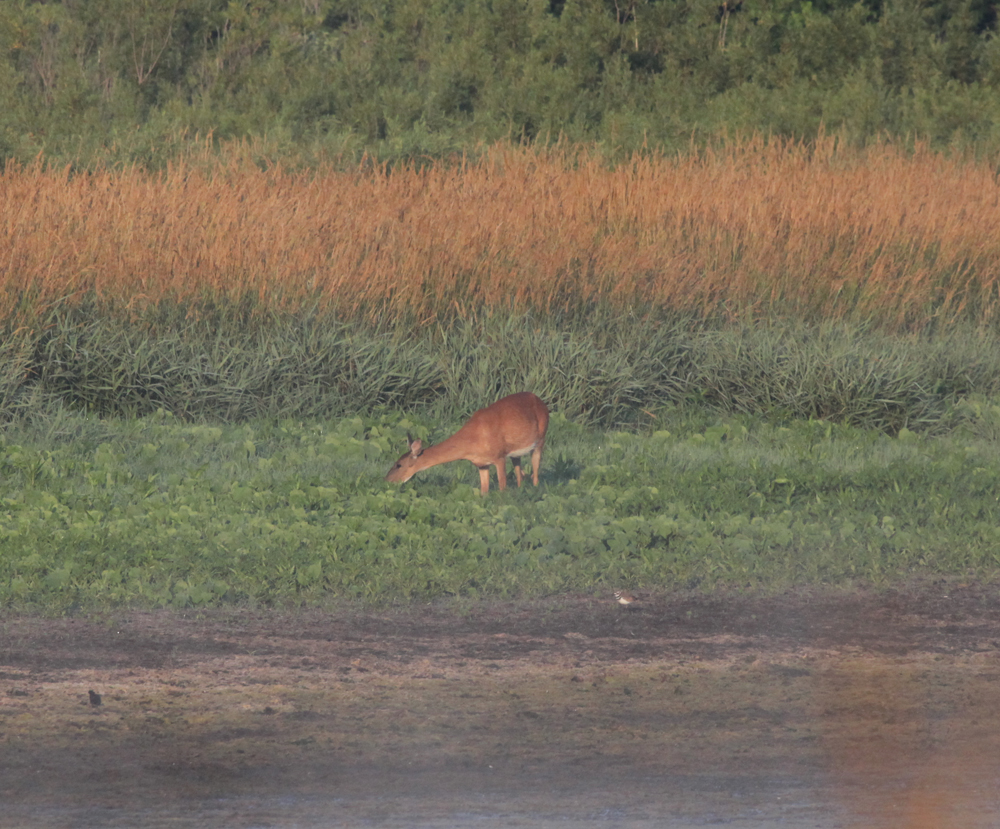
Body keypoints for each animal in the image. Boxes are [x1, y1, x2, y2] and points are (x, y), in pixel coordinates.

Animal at [386, 392, 552, 494]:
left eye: (398, 464)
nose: (387, 480)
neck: (472, 441)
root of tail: (542, 402)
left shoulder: (499, 457)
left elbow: (502, 487)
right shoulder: (481, 464)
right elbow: (484, 491)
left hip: (541, 440)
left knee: (535, 473)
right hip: (515, 453)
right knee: (520, 472)